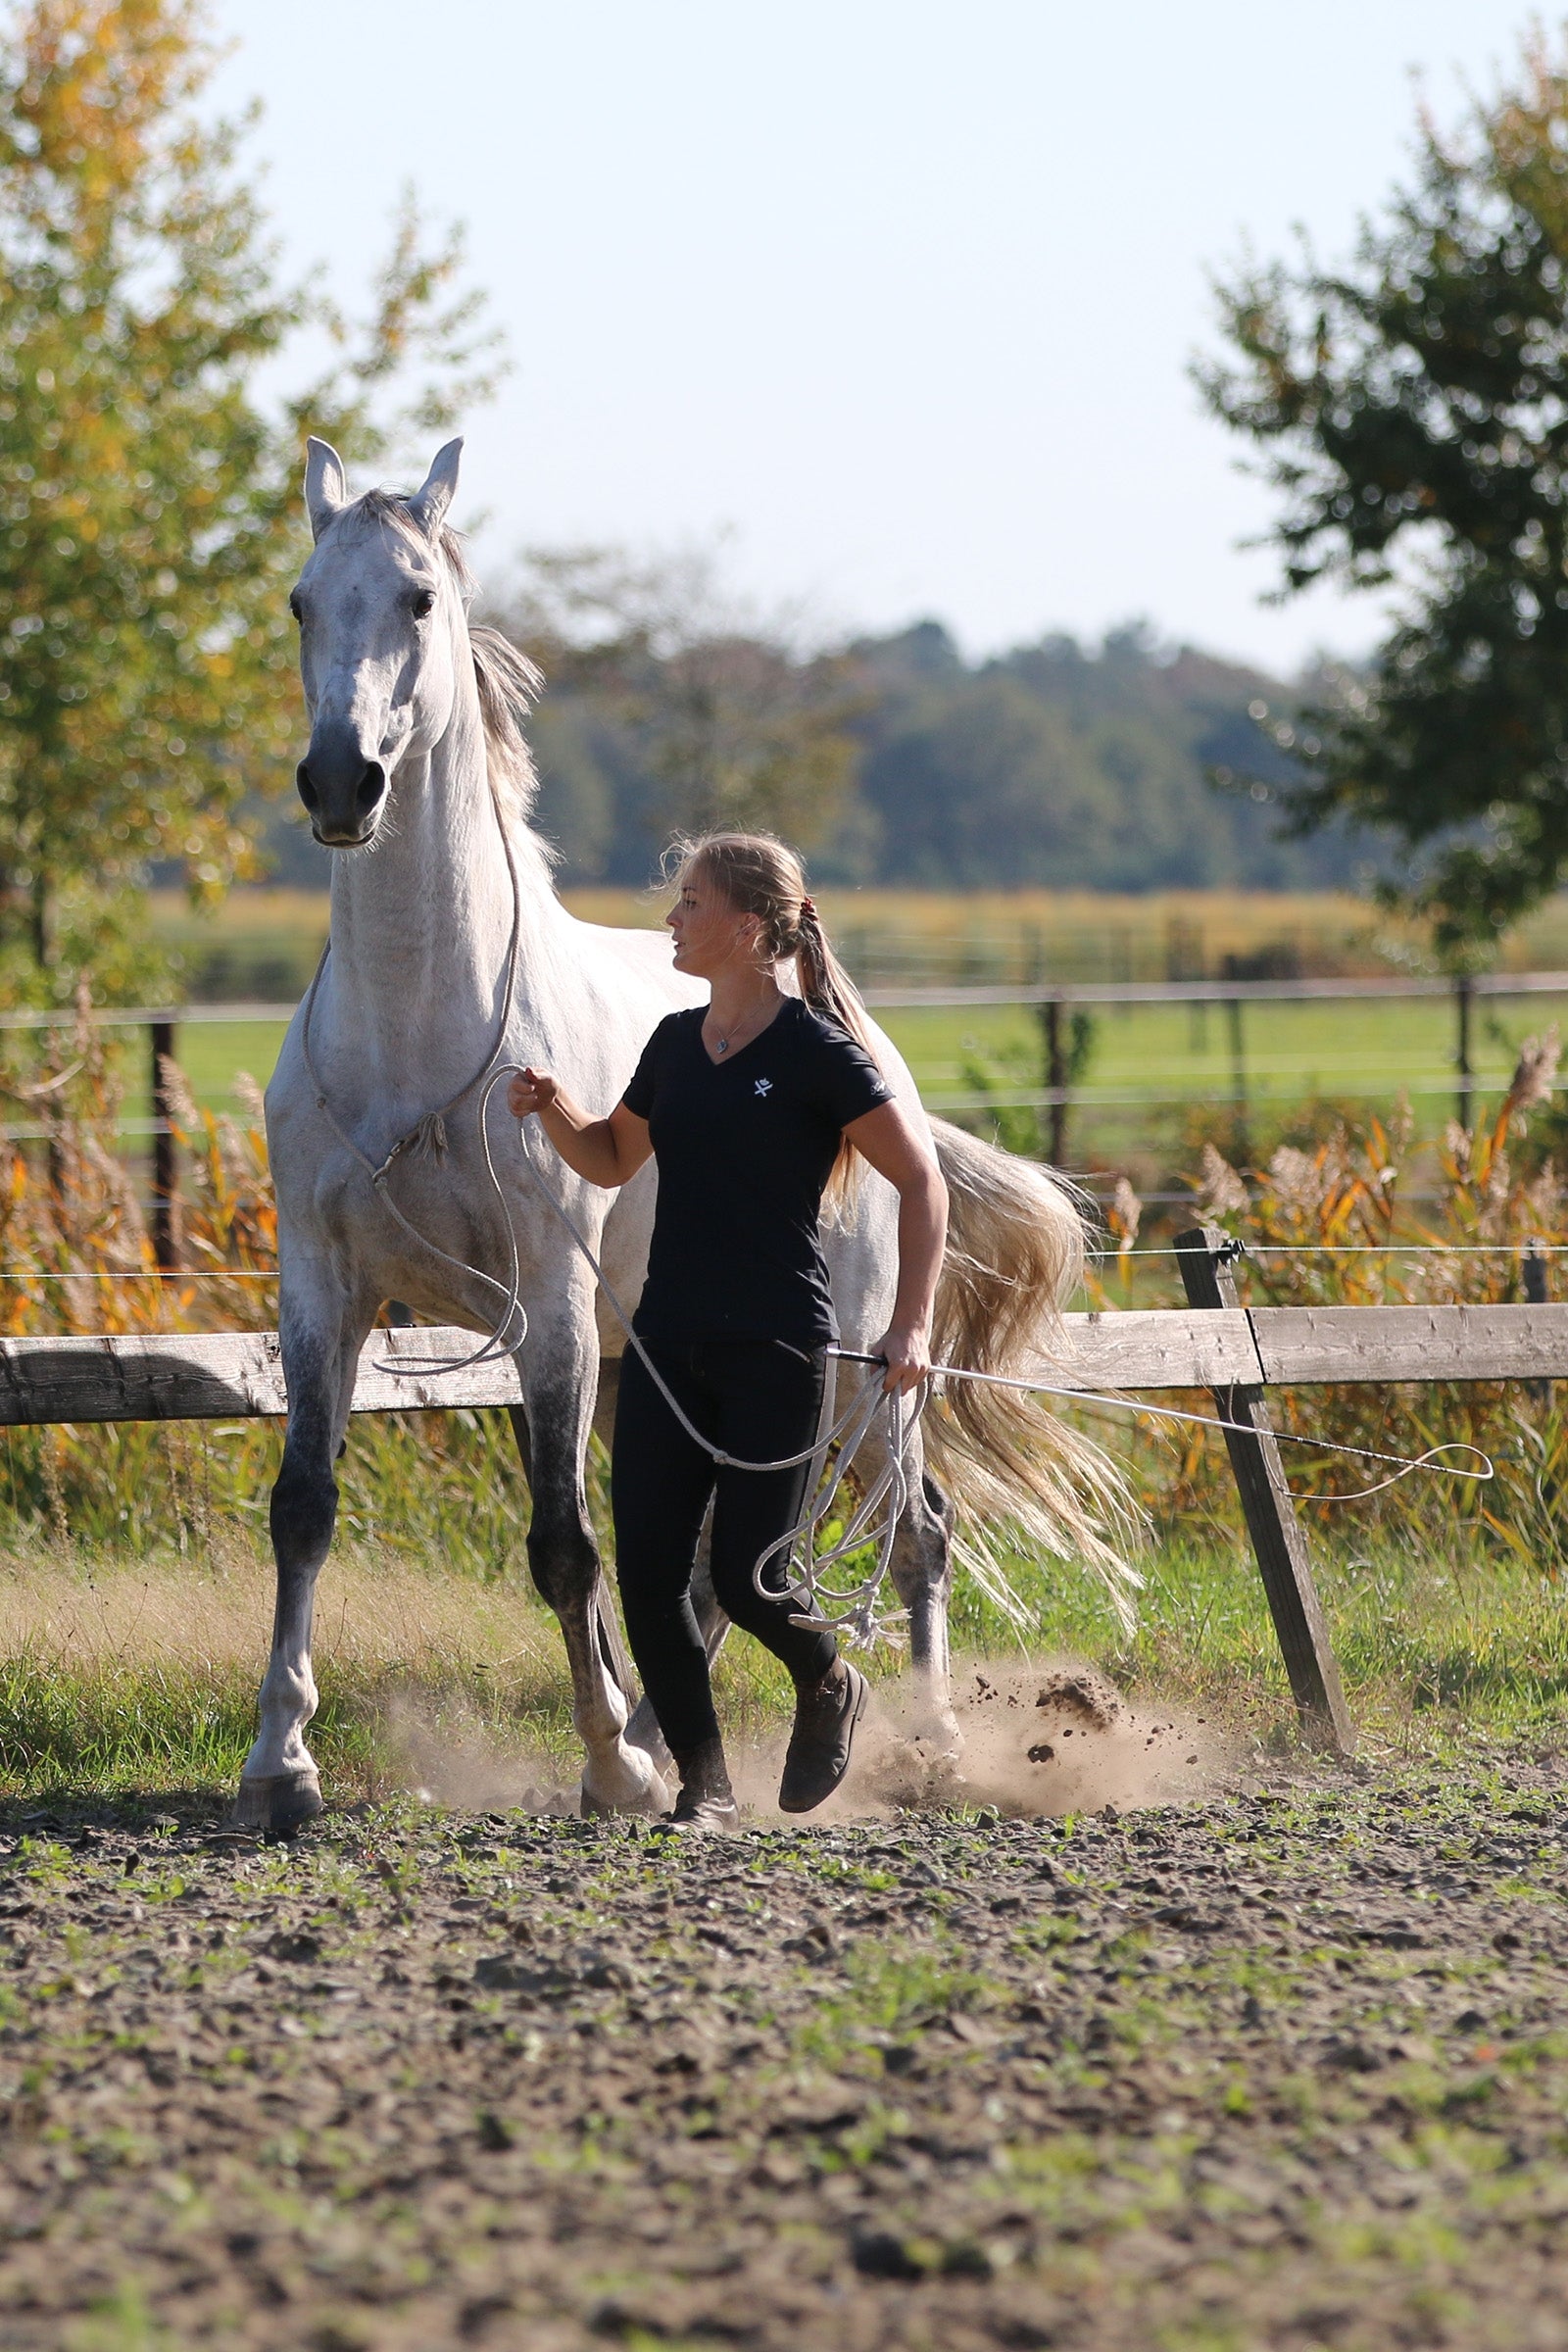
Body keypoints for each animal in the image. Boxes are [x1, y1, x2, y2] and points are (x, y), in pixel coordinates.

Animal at [235, 435, 1129, 1839]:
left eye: (420, 601)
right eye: (298, 604)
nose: (340, 783)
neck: (415, 1031)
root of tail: (880, 1068)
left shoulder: (548, 1304)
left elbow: (562, 1544)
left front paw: (605, 1762)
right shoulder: (325, 1287)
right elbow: (305, 1512)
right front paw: (281, 1765)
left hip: (859, 1371)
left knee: (910, 1533)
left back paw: (918, 1748)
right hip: (655, 1369)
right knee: (708, 1567)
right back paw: (680, 1750)